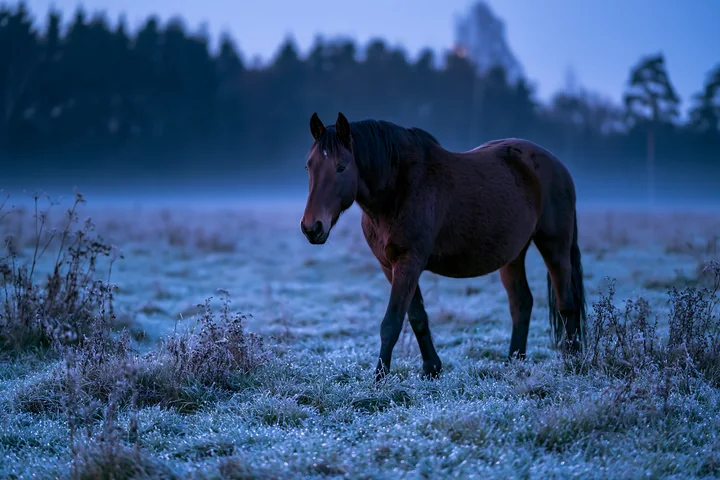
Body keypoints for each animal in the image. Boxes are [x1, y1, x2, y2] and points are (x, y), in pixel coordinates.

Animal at [300, 112, 586, 382]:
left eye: (341, 167)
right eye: (309, 166)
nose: (312, 227)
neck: (398, 190)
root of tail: (557, 166)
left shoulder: (409, 261)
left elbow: (392, 322)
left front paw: (380, 379)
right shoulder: (389, 265)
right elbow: (417, 316)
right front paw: (431, 369)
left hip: (555, 247)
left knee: (566, 304)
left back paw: (572, 363)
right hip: (513, 255)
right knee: (521, 303)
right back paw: (513, 363)